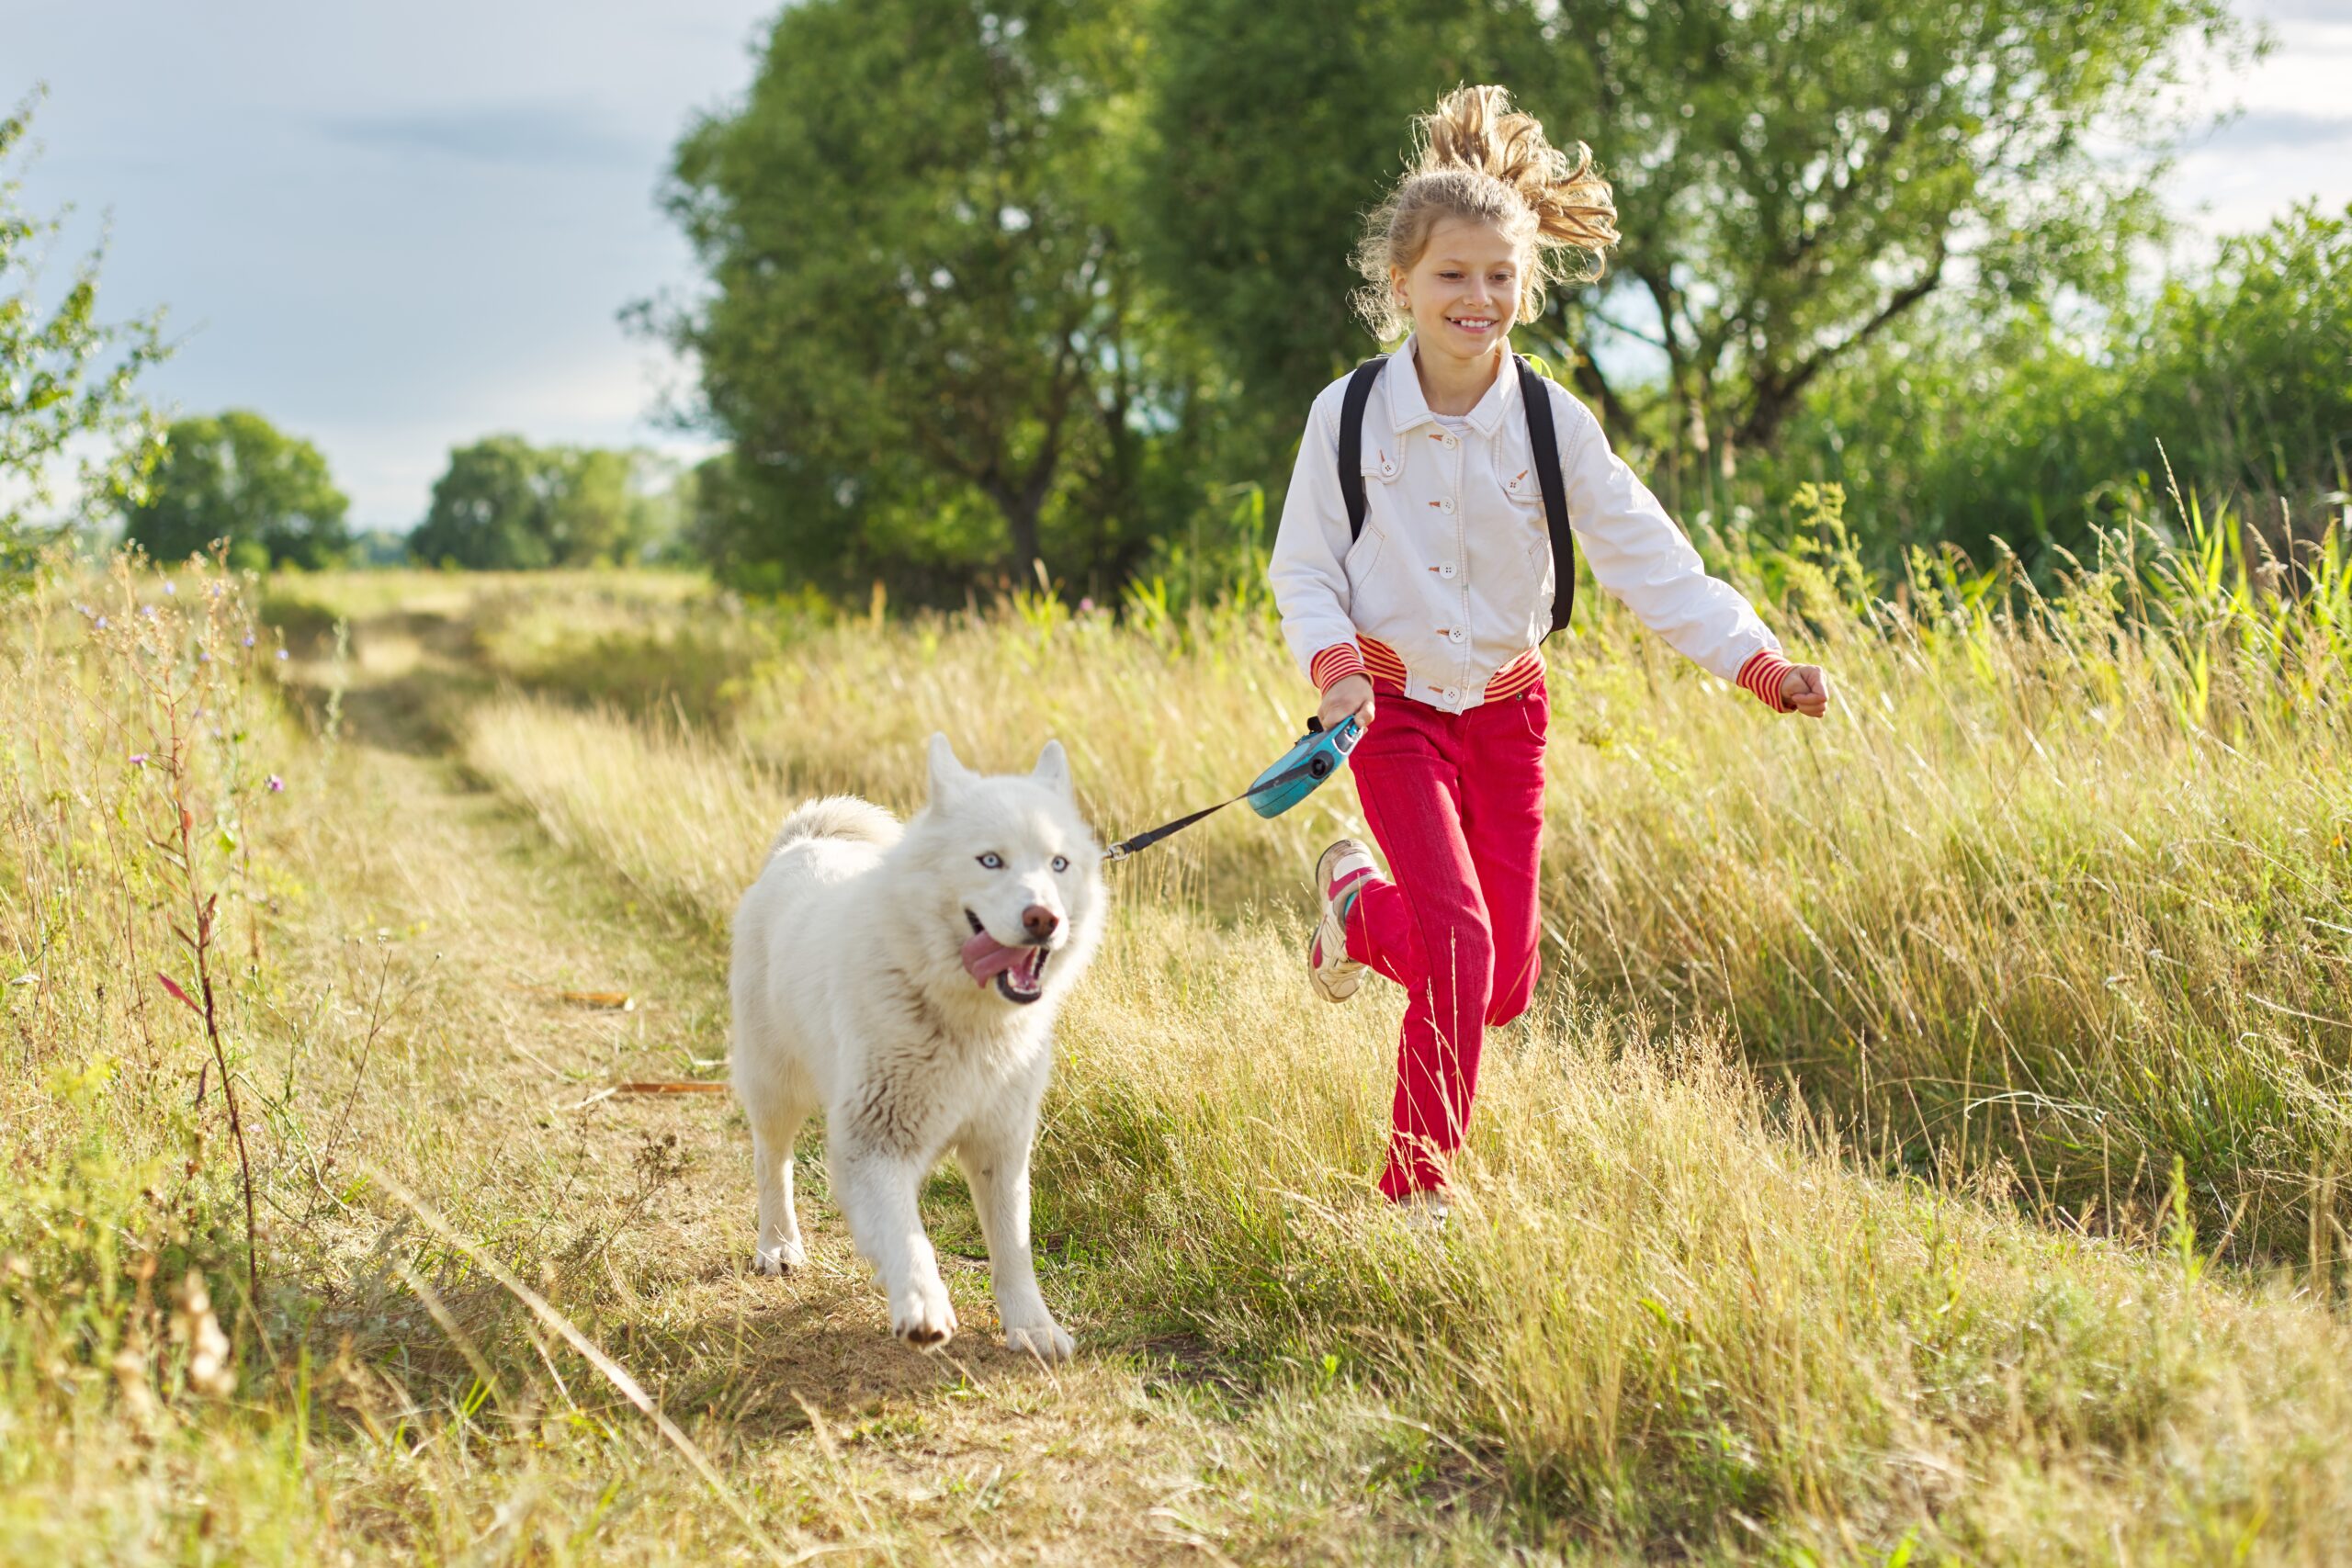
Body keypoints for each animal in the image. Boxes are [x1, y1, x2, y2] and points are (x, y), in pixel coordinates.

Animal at [729, 738, 1105, 1363]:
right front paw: (923, 1306)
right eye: (990, 861)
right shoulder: (872, 1144)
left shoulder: (1001, 1147)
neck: (965, 1022)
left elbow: (1013, 1247)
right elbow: (912, 1238)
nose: (1043, 919)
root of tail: (804, 841)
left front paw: (1032, 1327)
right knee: (771, 1161)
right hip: (773, 1085)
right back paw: (779, 1245)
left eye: (1059, 864)